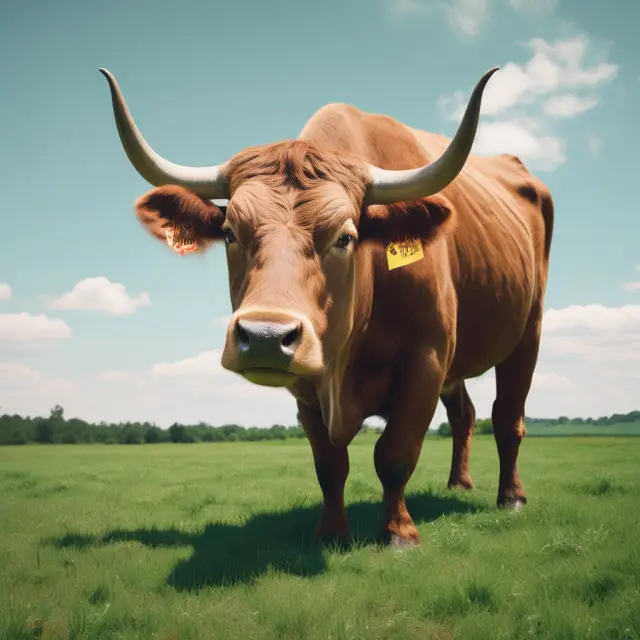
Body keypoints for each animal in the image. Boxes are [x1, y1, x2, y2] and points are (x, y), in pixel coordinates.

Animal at [99, 66, 554, 547]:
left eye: (345, 237)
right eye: (228, 232)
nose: (264, 337)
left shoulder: (426, 358)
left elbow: (395, 453)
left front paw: (398, 533)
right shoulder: (308, 385)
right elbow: (330, 464)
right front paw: (332, 531)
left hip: (529, 331)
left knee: (507, 418)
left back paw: (511, 497)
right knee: (464, 414)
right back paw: (459, 484)